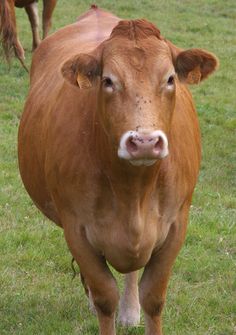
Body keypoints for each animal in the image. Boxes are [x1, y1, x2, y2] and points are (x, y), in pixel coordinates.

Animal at [17, 5, 218, 335]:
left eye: (170, 78)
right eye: (108, 80)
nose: (145, 142)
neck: (133, 188)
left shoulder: (177, 224)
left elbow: (153, 298)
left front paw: (135, 308)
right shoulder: (76, 227)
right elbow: (104, 297)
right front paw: (98, 301)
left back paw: (130, 309)